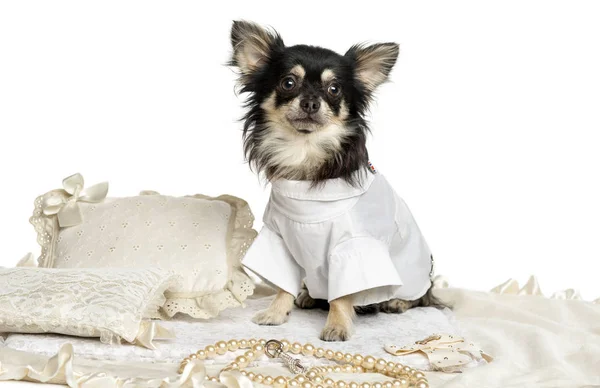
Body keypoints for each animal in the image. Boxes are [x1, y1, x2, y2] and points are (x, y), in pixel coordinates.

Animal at [232, 22, 438, 342]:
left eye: (334, 89)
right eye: (288, 83)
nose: (311, 102)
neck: (304, 153)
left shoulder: (350, 247)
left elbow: (342, 295)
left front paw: (337, 326)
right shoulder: (279, 240)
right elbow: (282, 285)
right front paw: (276, 313)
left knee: (424, 296)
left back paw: (398, 301)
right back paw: (308, 295)